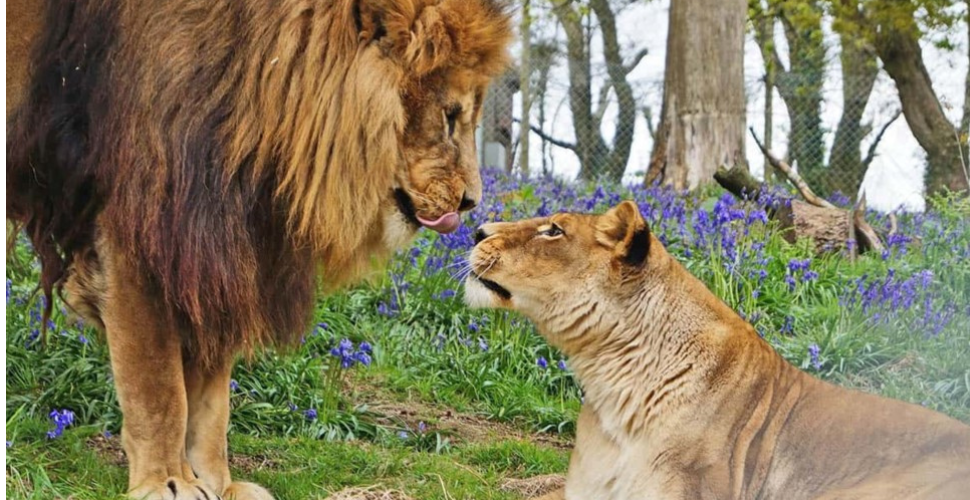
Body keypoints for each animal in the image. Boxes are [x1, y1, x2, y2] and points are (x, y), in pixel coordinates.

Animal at [7, 1, 516, 498]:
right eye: (450, 115)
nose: (471, 202)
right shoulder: (141, 228)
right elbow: (158, 384)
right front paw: (169, 480)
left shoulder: (217, 245)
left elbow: (212, 395)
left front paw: (216, 480)